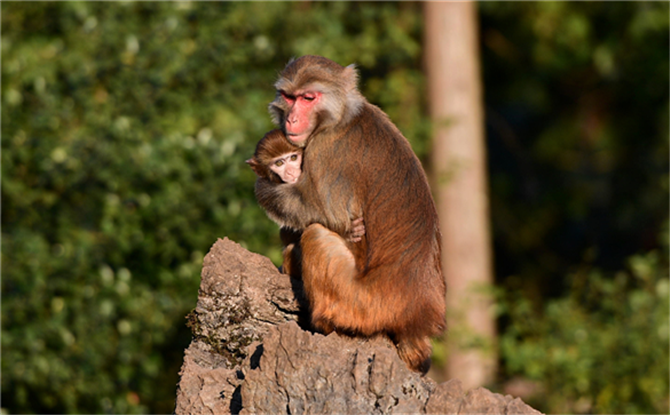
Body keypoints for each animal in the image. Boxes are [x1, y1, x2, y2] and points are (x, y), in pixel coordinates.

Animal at [258, 56, 446, 374]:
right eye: (289, 97)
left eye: (308, 98)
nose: (292, 119)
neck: (339, 117)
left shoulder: (325, 150)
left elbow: (320, 212)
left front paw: (262, 187)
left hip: (361, 305)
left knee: (315, 234)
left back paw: (324, 320)